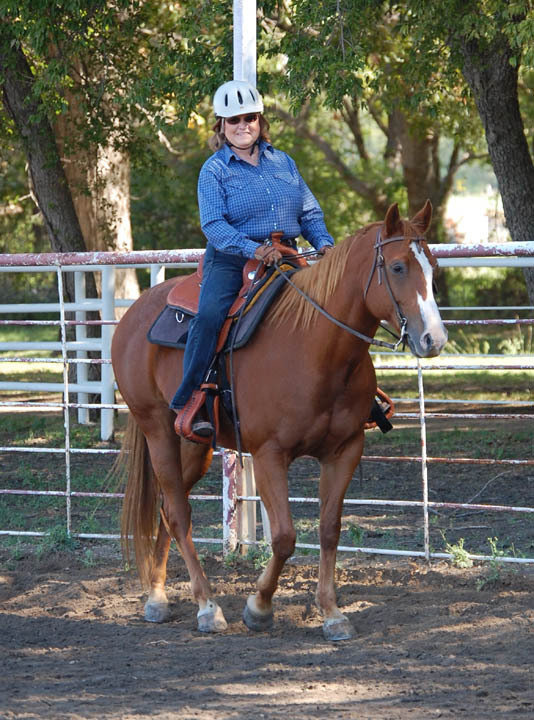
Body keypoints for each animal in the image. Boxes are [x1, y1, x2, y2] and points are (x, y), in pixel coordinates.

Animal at [111, 200, 447, 641]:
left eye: (433, 267)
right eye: (396, 267)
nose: (434, 339)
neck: (314, 348)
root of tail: (135, 312)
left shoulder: (345, 451)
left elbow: (328, 529)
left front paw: (332, 613)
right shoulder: (269, 454)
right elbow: (285, 536)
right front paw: (259, 607)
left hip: (195, 445)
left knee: (169, 507)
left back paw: (157, 597)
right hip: (156, 430)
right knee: (179, 514)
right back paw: (206, 606)